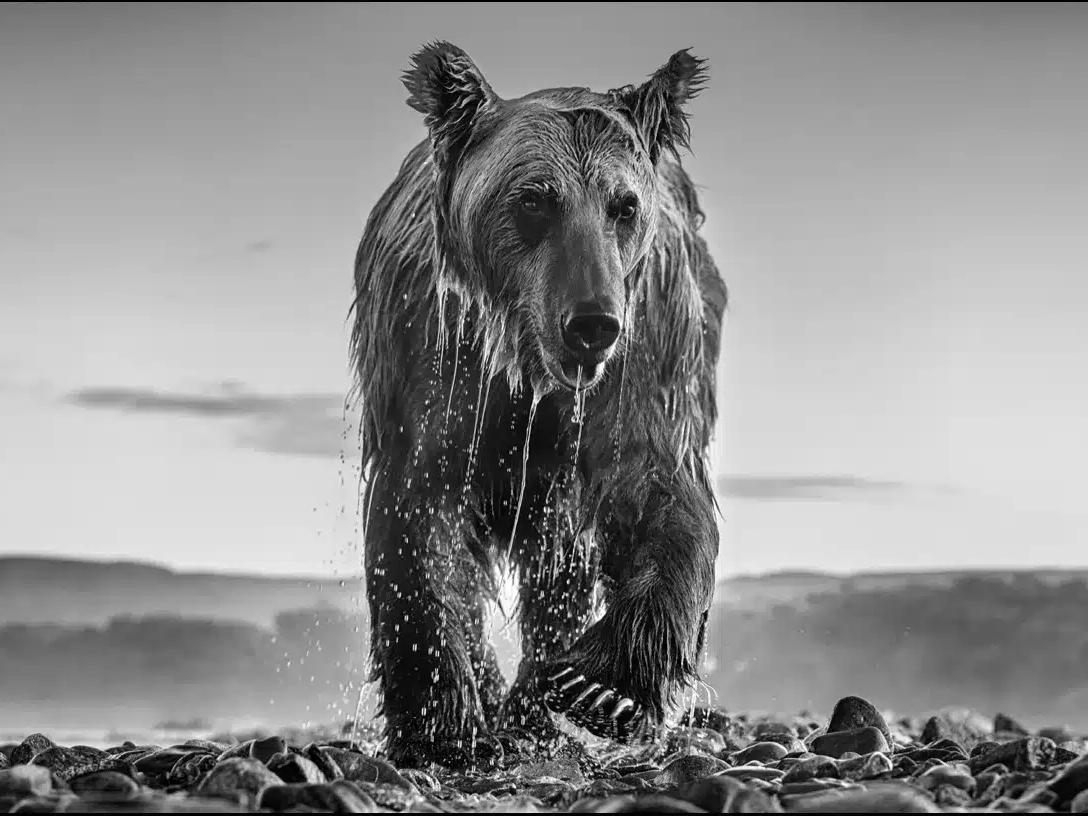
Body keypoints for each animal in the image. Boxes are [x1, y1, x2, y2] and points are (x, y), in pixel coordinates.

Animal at [350, 41, 728, 768]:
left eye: (623, 206)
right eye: (534, 201)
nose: (592, 323)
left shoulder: (646, 356)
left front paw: (603, 688)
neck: (531, 369)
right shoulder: (436, 356)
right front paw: (444, 719)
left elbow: (660, 493)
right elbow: (419, 517)